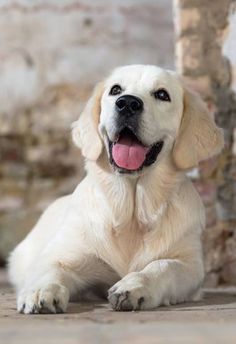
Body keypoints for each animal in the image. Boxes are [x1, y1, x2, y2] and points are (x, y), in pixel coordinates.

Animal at [7, 65, 224, 314]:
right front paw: (41, 292)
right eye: (115, 90)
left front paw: (133, 287)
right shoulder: (64, 254)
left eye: (162, 94)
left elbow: (163, 266)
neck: (131, 214)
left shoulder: (191, 265)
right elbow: (49, 269)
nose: (128, 103)